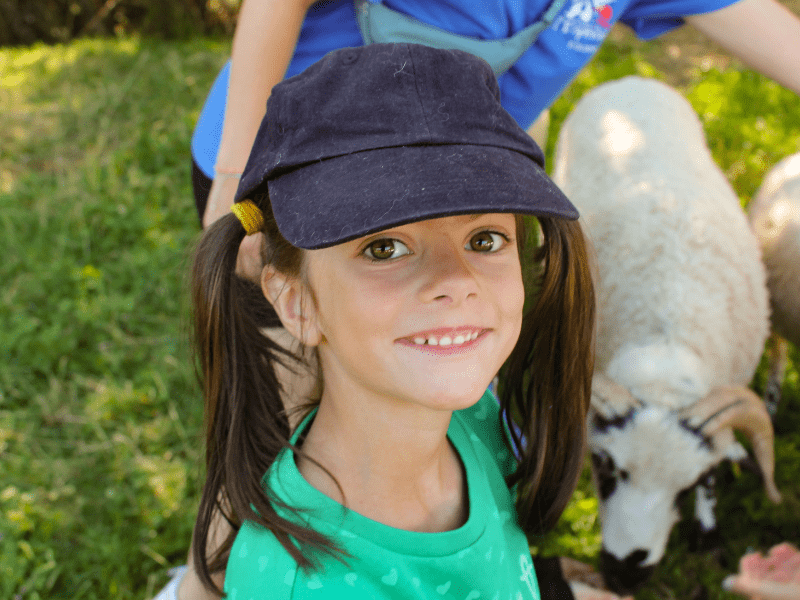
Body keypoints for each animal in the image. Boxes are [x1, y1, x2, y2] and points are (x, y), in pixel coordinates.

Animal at [552, 76, 780, 596]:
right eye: (605, 467)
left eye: (687, 485)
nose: (624, 572)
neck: (665, 345)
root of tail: (631, 81)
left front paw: (707, 528)